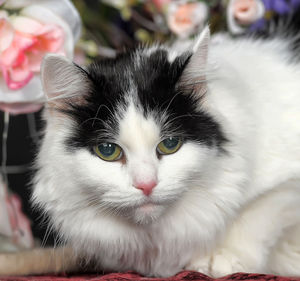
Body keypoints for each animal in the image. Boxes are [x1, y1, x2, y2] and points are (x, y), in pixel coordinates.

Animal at [31, 21, 300, 276]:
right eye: (108, 151)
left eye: (170, 144)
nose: (146, 184)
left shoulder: (286, 182)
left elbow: (256, 214)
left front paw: (221, 257)